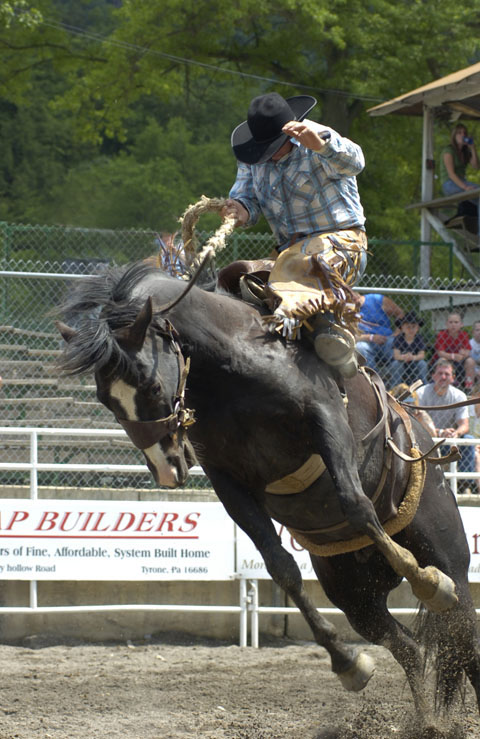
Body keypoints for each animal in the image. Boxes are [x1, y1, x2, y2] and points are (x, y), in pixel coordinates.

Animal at [57, 264, 480, 732]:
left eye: (149, 385)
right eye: (105, 399)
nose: (165, 469)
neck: (233, 362)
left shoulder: (325, 419)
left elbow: (356, 505)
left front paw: (428, 583)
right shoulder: (228, 479)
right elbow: (281, 567)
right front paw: (348, 664)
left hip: (449, 558)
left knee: (464, 638)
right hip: (355, 598)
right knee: (410, 648)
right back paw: (427, 722)